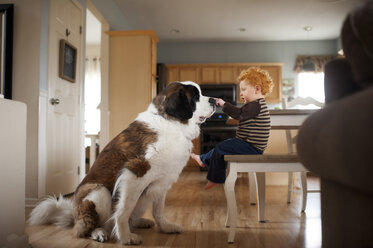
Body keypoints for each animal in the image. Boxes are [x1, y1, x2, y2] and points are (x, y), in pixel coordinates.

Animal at [28, 81, 215, 244]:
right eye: (196, 96)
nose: (214, 100)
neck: (171, 123)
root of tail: (73, 215)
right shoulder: (135, 173)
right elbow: (124, 209)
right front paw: (125, 237)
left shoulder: (163, 182)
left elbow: (158, 209)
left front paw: (165, 227)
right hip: (98, 191)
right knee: (83, 229)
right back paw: (99, 233)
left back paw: (140, 222)